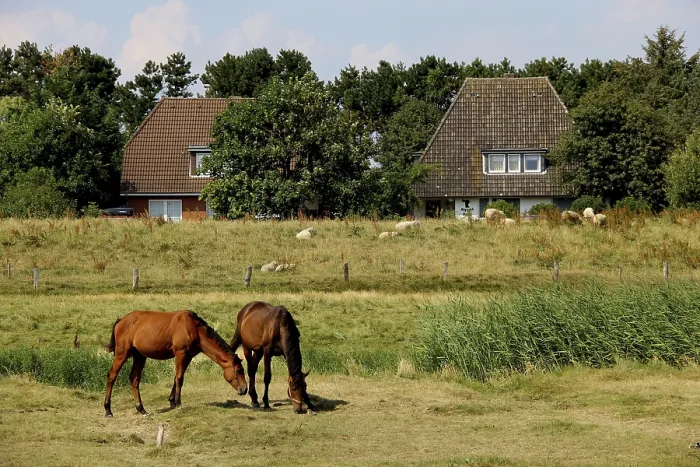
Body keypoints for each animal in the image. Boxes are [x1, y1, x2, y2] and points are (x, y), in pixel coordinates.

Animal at [103, 310, 247, 417]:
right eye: (239, 370)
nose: (244, 389)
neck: (194, 328)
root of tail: (121, 321)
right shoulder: (180, 353)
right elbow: (179, 378)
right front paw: (177, 402)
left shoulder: (188, 356)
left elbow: (177, 377)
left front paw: (172, 401)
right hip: (122, 354)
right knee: (112, 376)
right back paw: (108, 410)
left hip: (140, 356)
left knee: (134, 378)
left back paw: (141, 409)